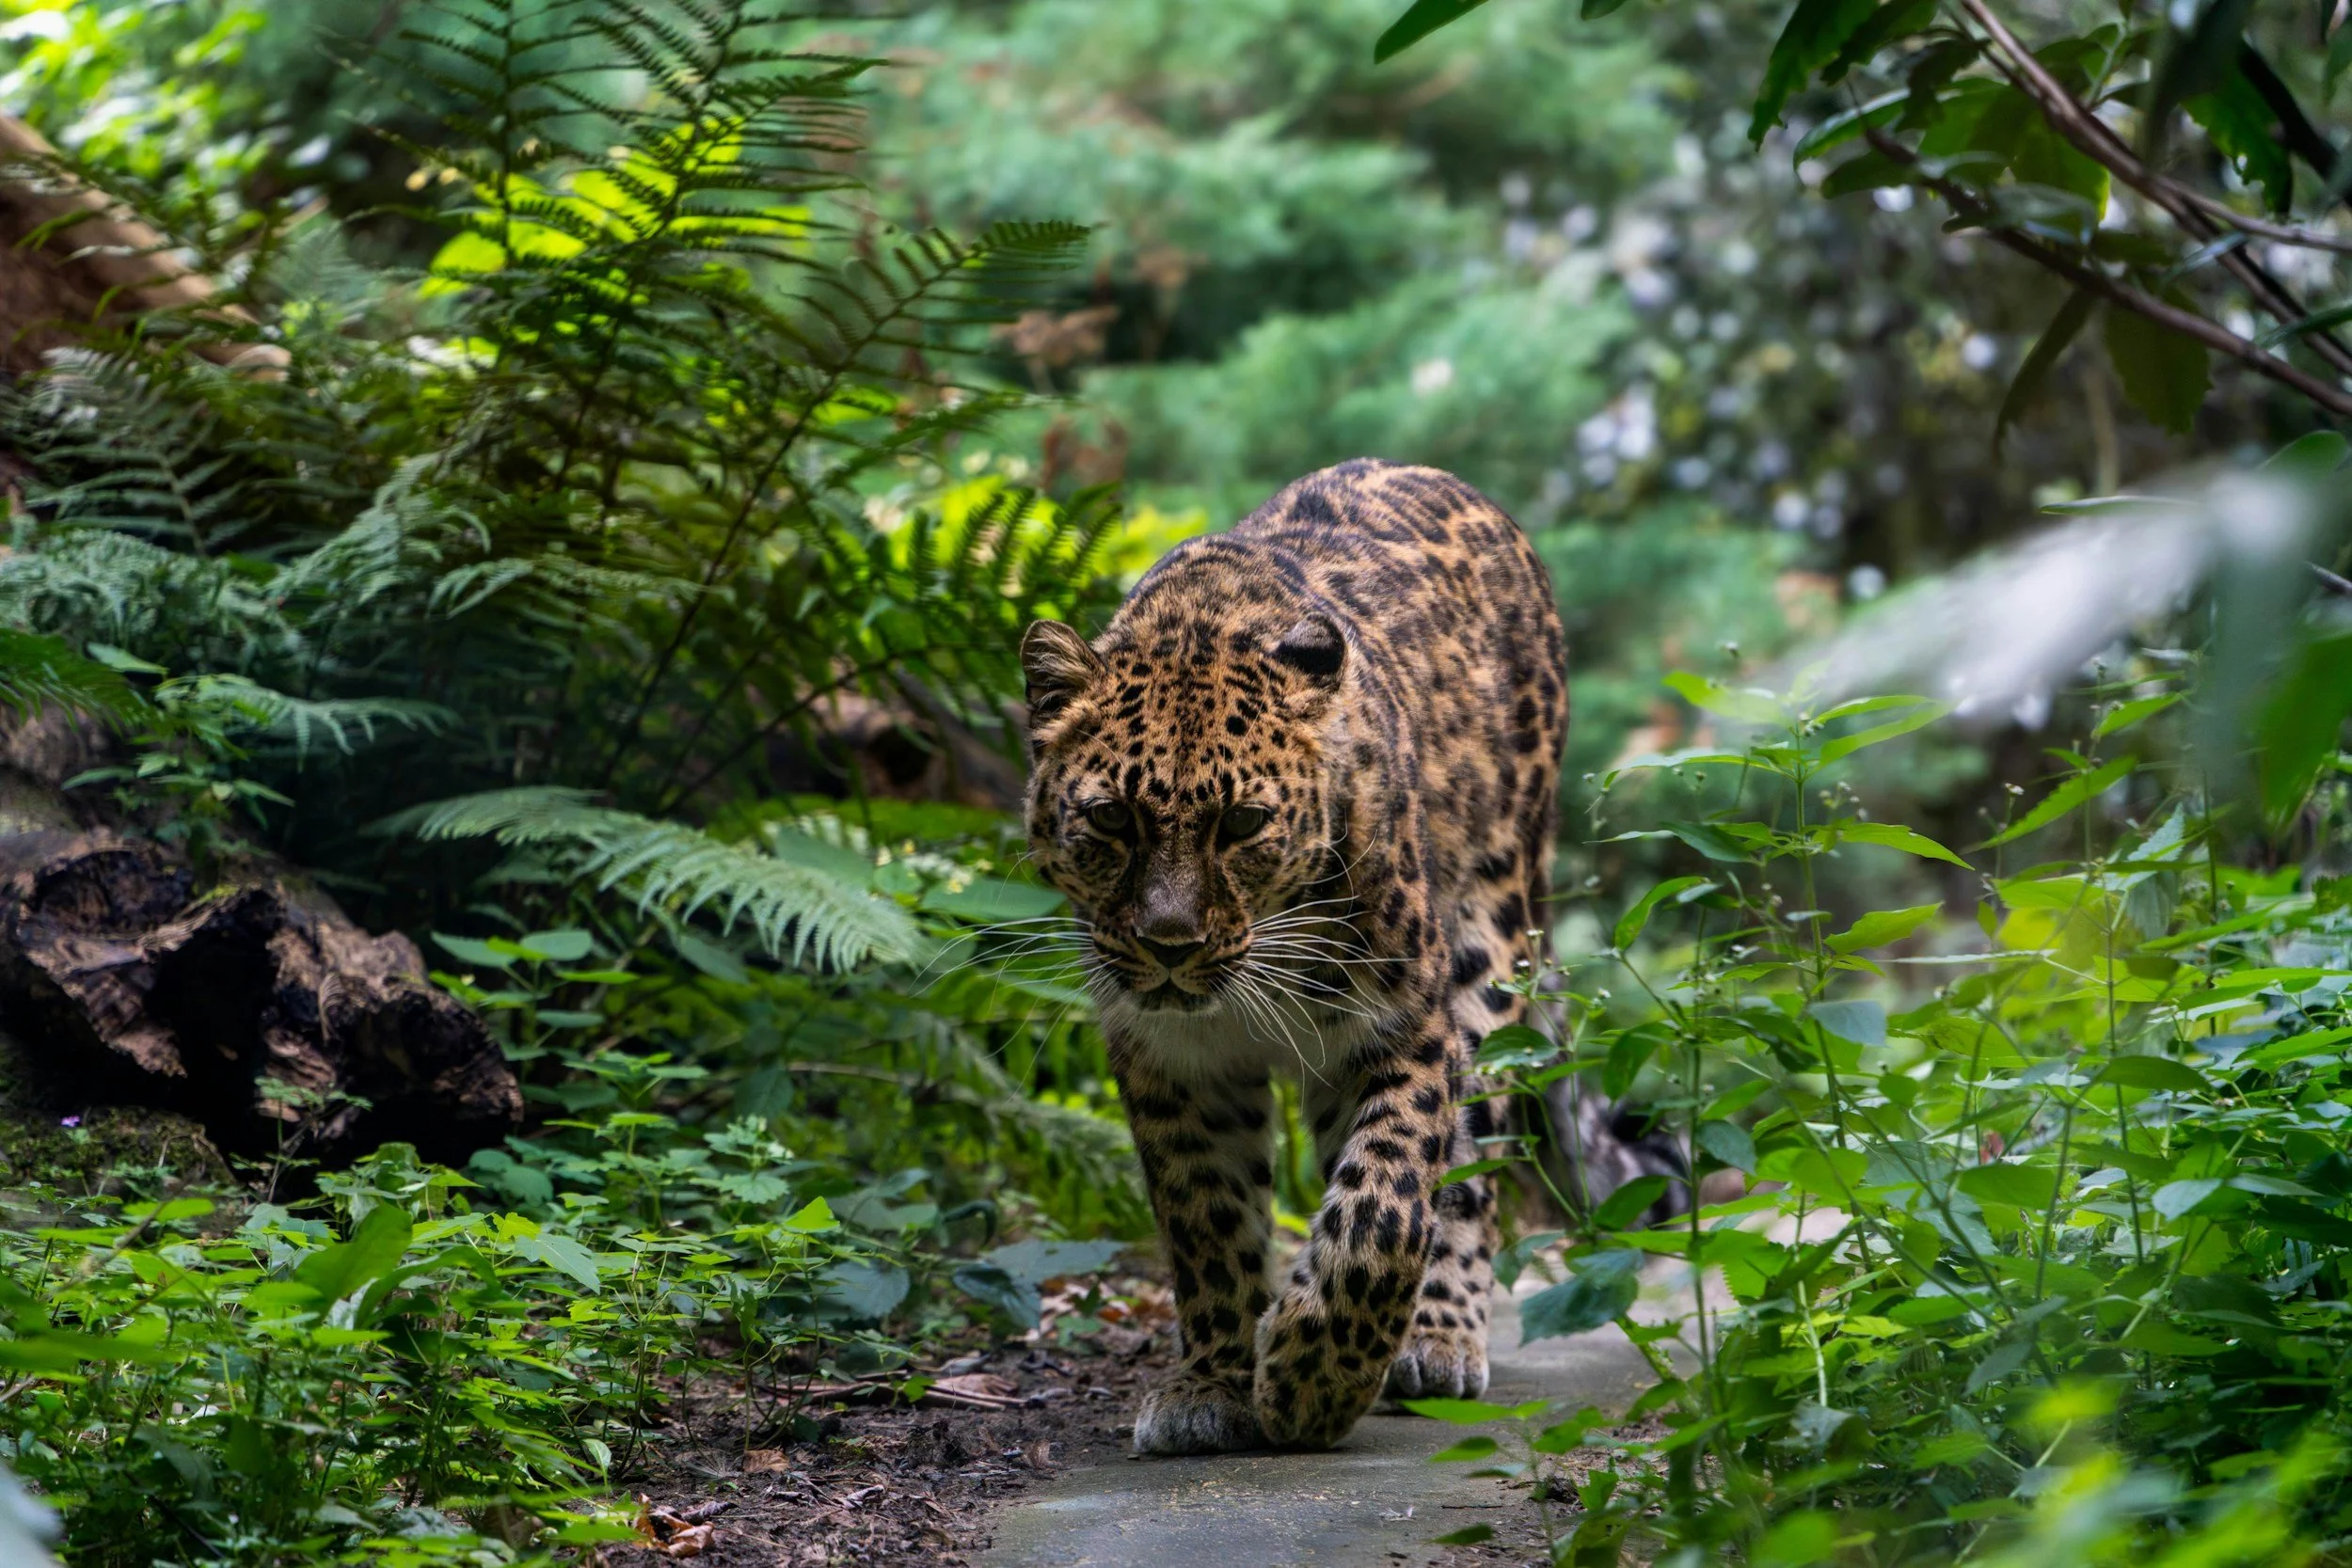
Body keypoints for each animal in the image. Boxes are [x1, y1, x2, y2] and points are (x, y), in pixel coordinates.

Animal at [1019, 457, 1566, 1454]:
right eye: (1112, 819)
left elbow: (1383, 1207)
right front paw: (1213, 1382)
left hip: (1493, 939)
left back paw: (1438, 1338)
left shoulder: (1403, 1027)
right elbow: (1206, 1219)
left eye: (1242, 824)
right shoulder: (1172, 1058)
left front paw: (1314, 1380)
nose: (1170, 943)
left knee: (1469, 1170)